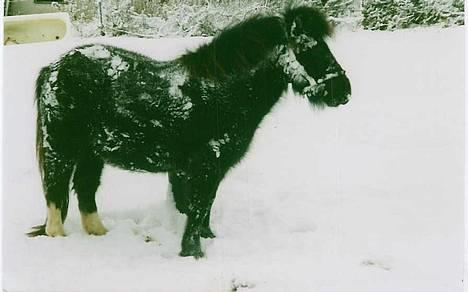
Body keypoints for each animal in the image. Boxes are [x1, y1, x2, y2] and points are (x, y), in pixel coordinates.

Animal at [29, 5, 352, 258]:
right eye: (311, 48)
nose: (344, 92)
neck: (221, 94)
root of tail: (53, 68)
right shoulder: (205, 167)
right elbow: (197, 209)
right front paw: (192, 253)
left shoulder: (210, 170)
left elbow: (203, 208)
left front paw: (206, 241)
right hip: (60, 149)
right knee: (56, 196)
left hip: (91, 154)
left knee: (85, 192)